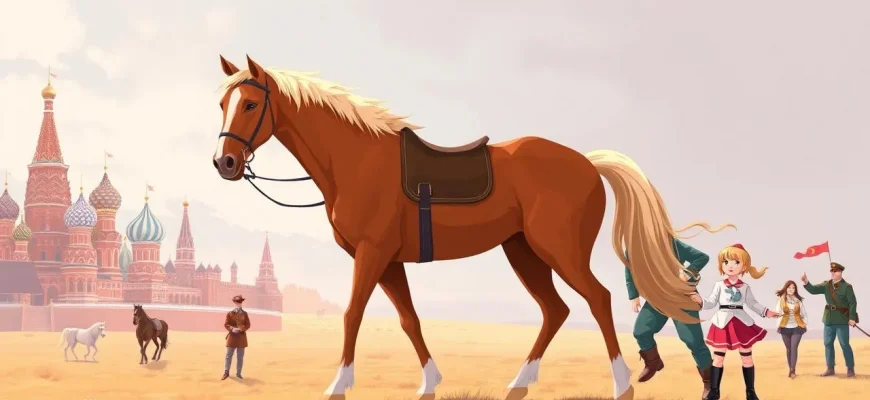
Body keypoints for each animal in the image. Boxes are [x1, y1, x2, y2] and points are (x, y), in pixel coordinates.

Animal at [211, 55, 723, 400]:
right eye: (222, 102)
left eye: (251, 104)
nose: (225, 163)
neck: (356, 161)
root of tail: (586, 163)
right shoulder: (388, 260)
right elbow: (409, 319)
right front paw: (430, 383)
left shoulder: (371, 254)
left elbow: (353, 313)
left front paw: (339, 383)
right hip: (522, 251)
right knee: (555, 310)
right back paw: (518, 383)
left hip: (558, 250)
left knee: (597, 299)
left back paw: (620, 385)